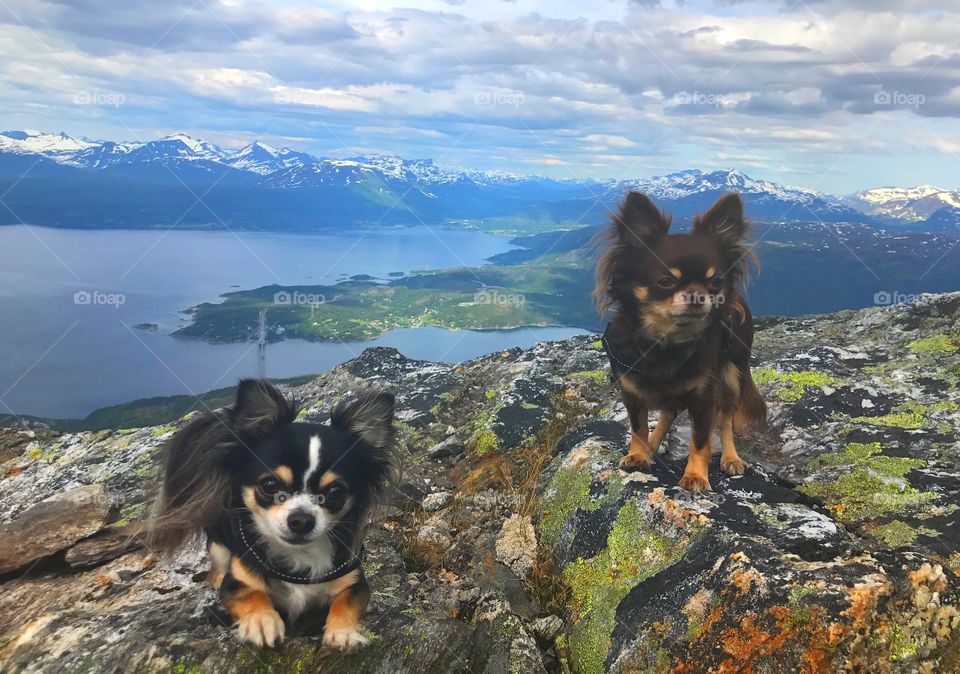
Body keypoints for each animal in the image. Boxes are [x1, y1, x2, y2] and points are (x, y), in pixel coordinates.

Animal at [146, 378, 394, 644]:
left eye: (335, 492)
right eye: (269, 486)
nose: (301, 520)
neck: (298, 555)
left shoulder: (354, 581)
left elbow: (347, 602)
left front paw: (343, 631)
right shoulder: (237, 582)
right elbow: (252, 595)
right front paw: (261, 621)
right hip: (219, 546)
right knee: (217, 567)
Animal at [596, 192, 768, 490]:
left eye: (716, 281)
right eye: (665, 281)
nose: (697, 294)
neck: (667, 343)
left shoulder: (703, 398)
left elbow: (700, 439)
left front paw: (696, 475)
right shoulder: (631, 393)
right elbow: (638, 428)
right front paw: (638, 453)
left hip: (733, 375)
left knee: (725, 421)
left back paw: (731, 458)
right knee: (668, 413)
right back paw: (653, 444)